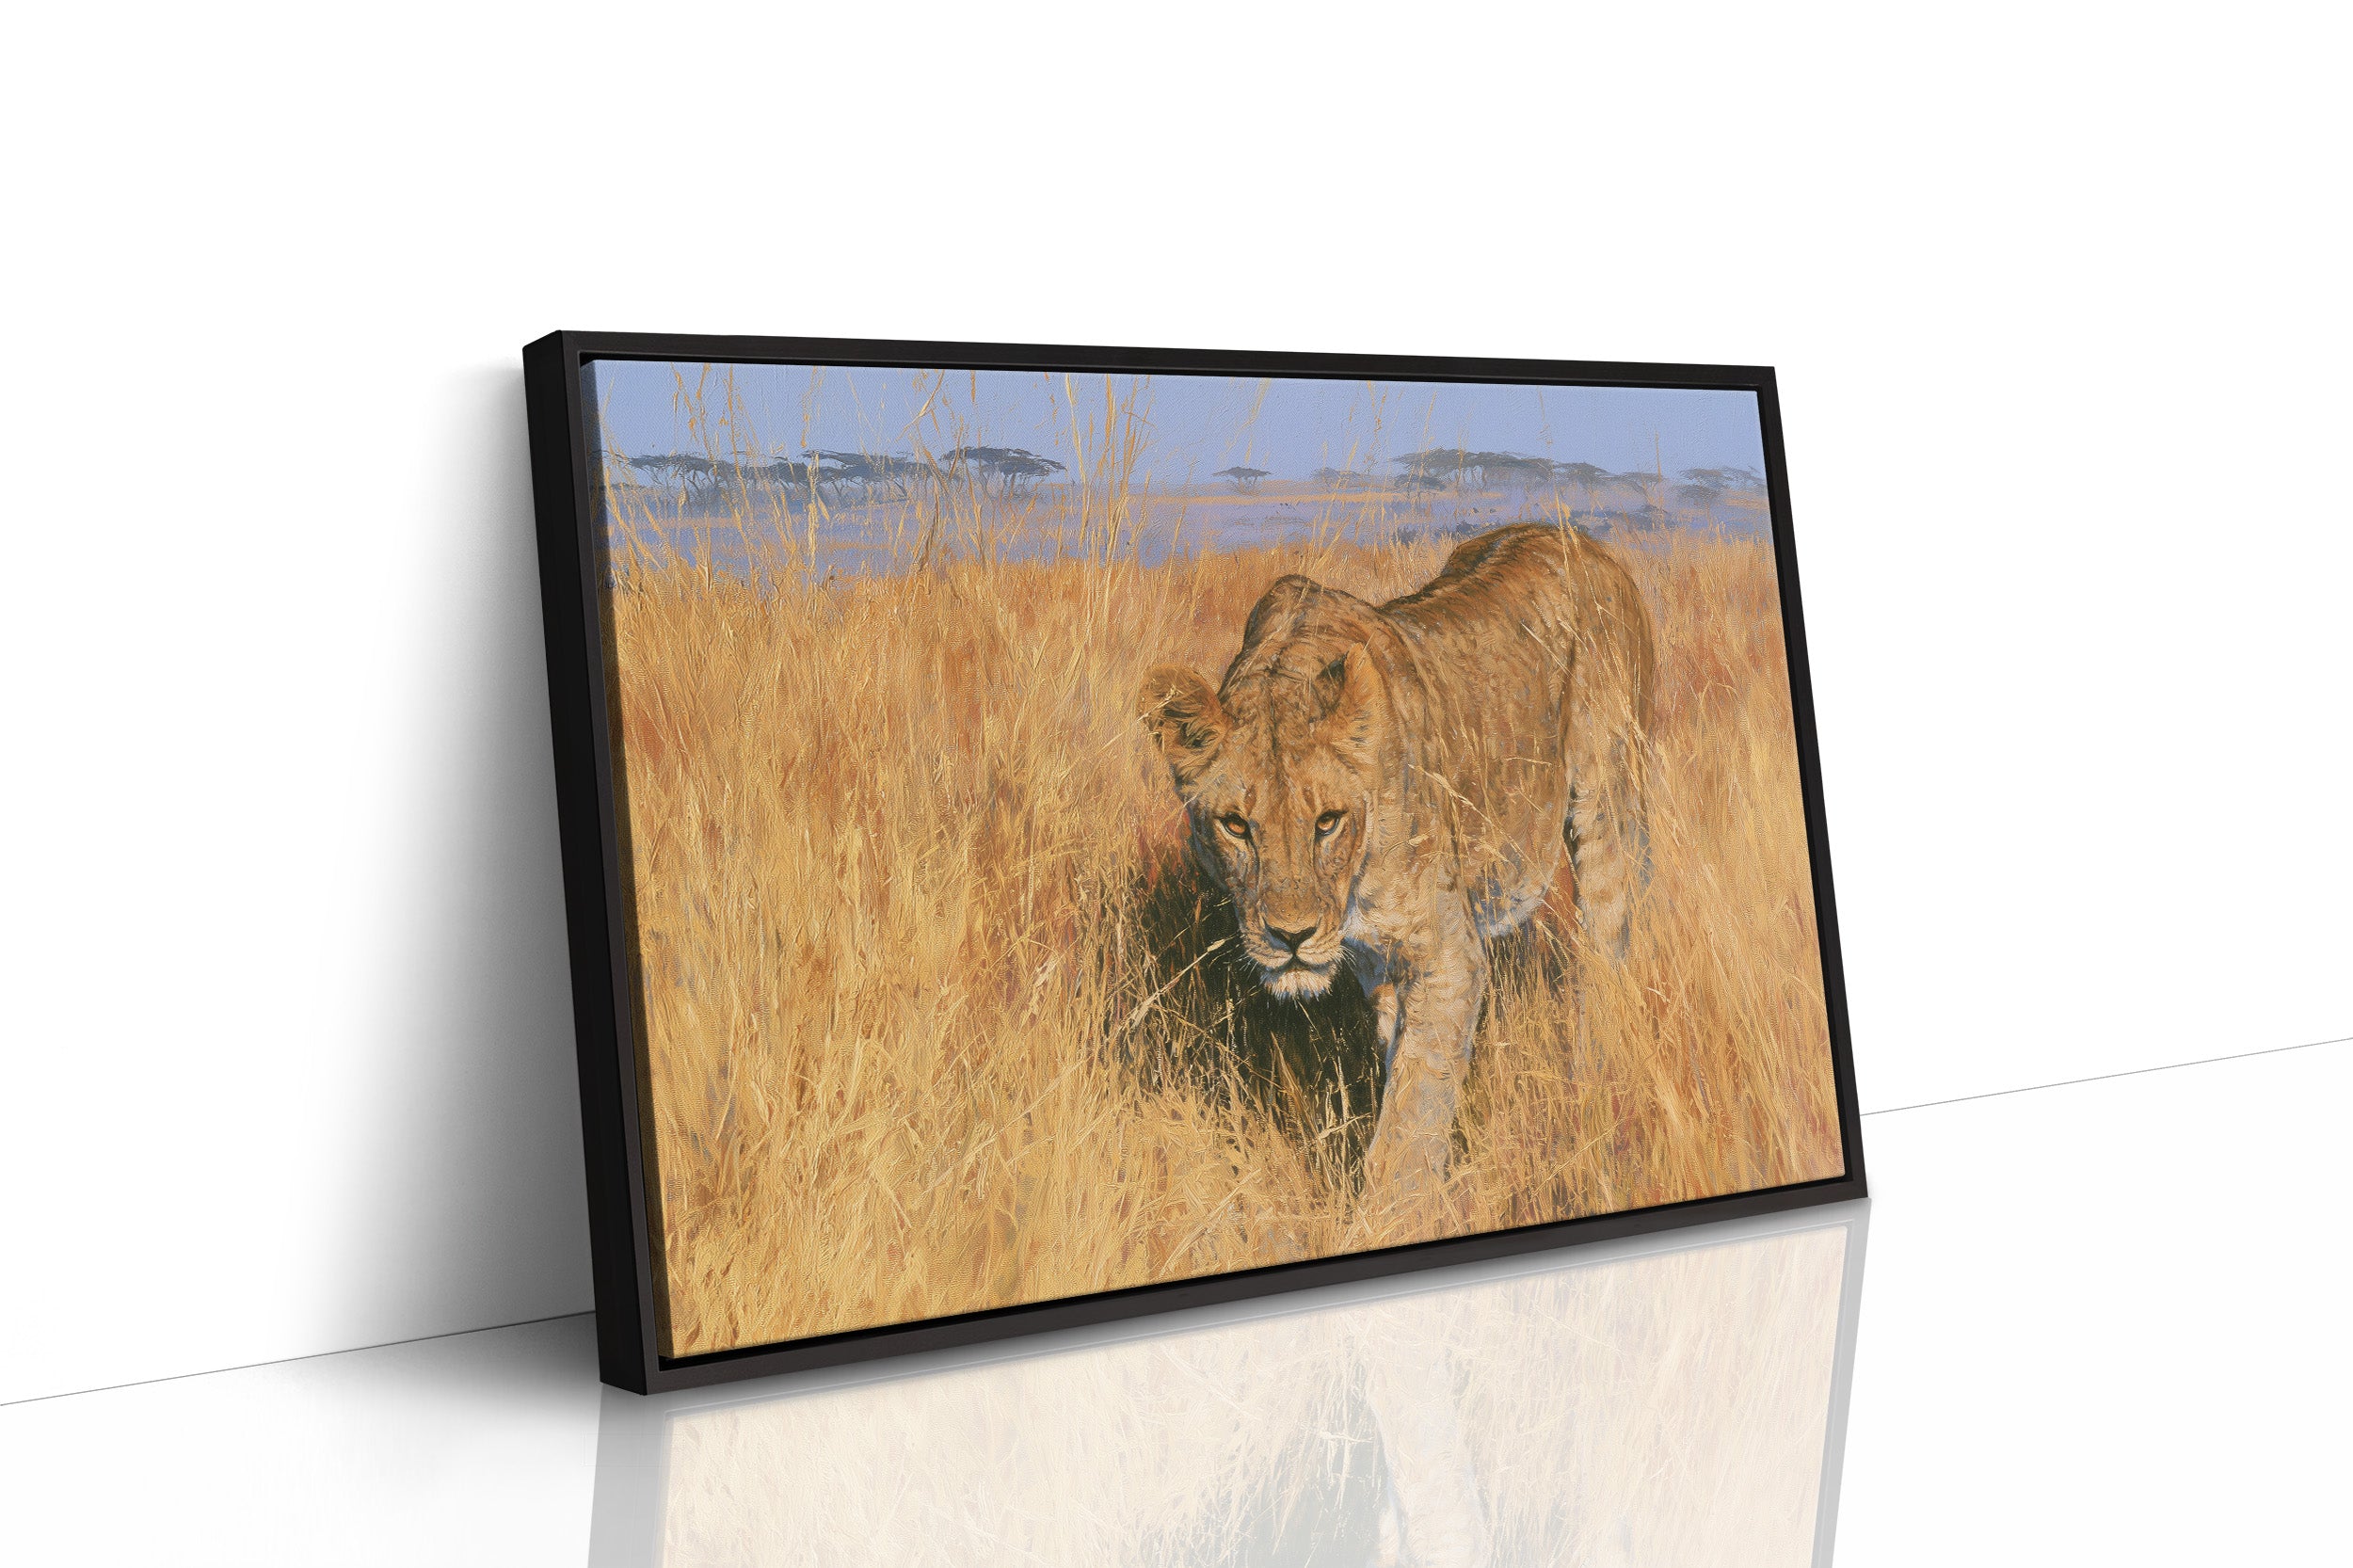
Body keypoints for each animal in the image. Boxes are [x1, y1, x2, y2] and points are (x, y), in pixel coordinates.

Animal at [1138, 521, 1657, 1202]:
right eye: (1236, 826)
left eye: (1326, 821)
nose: (1290, 937)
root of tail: (1570, 533)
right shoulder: (1378, 965)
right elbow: (1408, 1079)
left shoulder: (1449, 957)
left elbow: (1409, 1121)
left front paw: (1391, 1211)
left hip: (1607, 808)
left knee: (1608, 946)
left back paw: (1596, 1075)